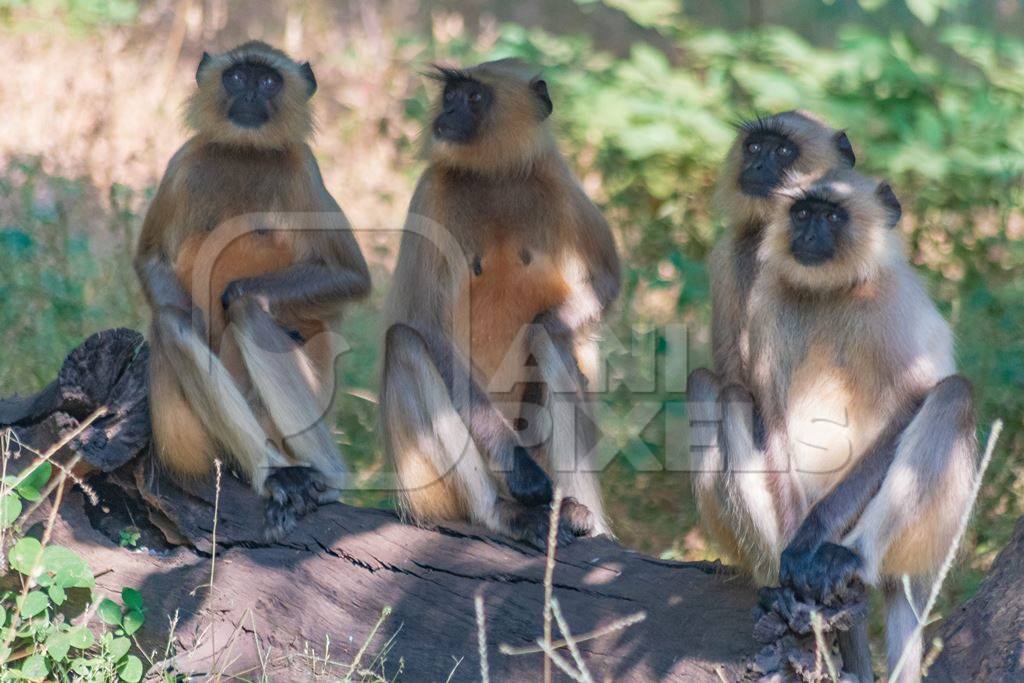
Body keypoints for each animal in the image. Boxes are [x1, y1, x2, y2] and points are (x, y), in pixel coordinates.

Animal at [136, 42, 372, 540]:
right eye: (237, 77)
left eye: (266, 81)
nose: (248, 94)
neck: (246, 152)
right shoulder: (183, 162)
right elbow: (151, 261)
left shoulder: (305, 169)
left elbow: (350, 275)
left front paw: (235, 295)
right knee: (172, 321)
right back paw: (273, 472)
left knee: (248, 307)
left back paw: (325, 477)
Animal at [382, 60, 614, 548]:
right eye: (451, 95)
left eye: (474, 98)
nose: (448, 112)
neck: (493, 177)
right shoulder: (431, 193)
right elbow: (427, 328)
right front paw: (520, 469)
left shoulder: (558, 180)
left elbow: (604, 282)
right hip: (427, 490)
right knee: (406, 342)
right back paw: (502, 513)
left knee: (551, 336)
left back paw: (578, 515)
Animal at [688, 166, 974, 683]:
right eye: (802, 212)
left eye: (832, 215)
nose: (808, 233)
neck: (831, 291)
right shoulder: (768, 301)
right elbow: (770, 417)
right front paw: (794, 552)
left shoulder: (893, 302)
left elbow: (913, 403)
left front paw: (812, 538)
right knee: (722, 391)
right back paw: (782, 588)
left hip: (926, 538)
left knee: (953, 394)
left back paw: (849, 558)